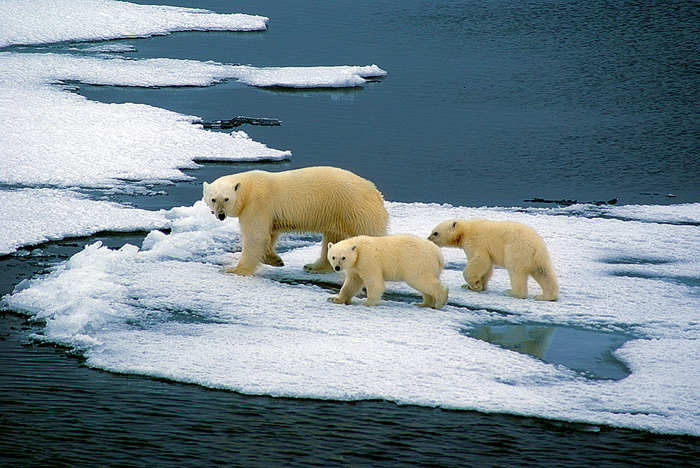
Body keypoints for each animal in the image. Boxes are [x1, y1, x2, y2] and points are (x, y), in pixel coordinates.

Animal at [202, 166, 388, 274]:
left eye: (226, 199)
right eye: (213, 199)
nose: (220, 215)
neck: (249, 188)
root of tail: (376, 192)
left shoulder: (257, 204)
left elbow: (255, 236)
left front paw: (235, 269)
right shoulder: (270, 214)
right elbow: (269, 235)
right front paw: (276, 259)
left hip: (355, 210)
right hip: (338, 213)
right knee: (333, 239)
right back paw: (313, 266)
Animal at [426, 218, 556, 302]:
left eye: (435, 233)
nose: (428, 239)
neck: (465, 230)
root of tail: (535, 246)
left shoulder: (475, 241)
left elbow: (480, 260)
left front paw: (475, 285)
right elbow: (487, 267)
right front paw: (472, 285)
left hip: (516, 251)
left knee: (516, 272)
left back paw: (511, 292)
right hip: (540, 257)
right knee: (544, 273)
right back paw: (545, 296)